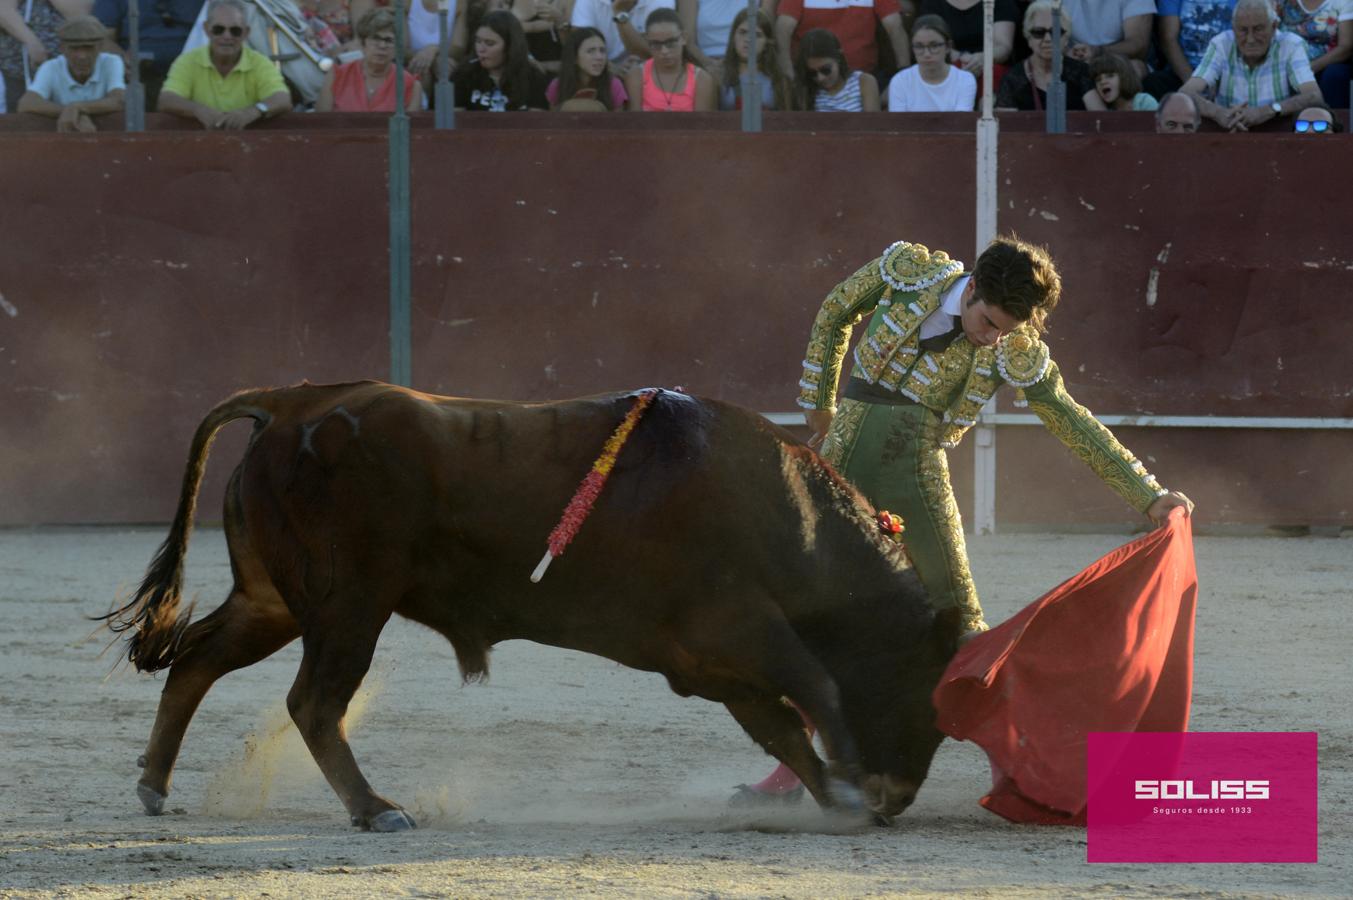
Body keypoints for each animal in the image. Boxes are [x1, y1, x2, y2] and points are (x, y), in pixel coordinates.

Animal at [102, 378, 952, 828]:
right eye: (922, 693)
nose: (899, 799)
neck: (787, 512)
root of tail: (292, 402)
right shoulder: (737, 628)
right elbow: (818, 687)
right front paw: (849, 785)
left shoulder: (713, 664)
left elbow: (781, 725)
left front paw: (831, 793)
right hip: (347, 607)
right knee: (312, 701)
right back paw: (376, 808)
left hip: (274, 601)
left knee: (198, 660)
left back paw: (154, 786)